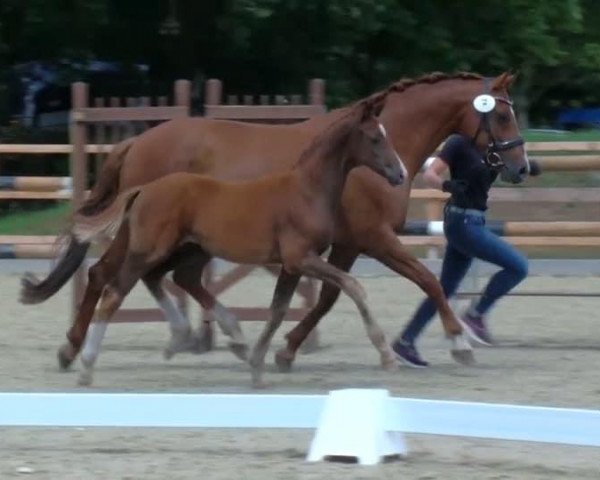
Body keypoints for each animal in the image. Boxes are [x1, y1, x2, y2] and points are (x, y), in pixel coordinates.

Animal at [23, 72, 528, 372]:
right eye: (502, 114)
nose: (522, 168)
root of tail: (137, 142)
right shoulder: (375, 239)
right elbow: (428, 280)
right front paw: (459, 344)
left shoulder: (343, 245)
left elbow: (327, 298)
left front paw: (284, 349)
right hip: (152, 237)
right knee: (105, 274)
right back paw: (75, 349)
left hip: (184, 242)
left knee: (165, 278)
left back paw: (206, 336)